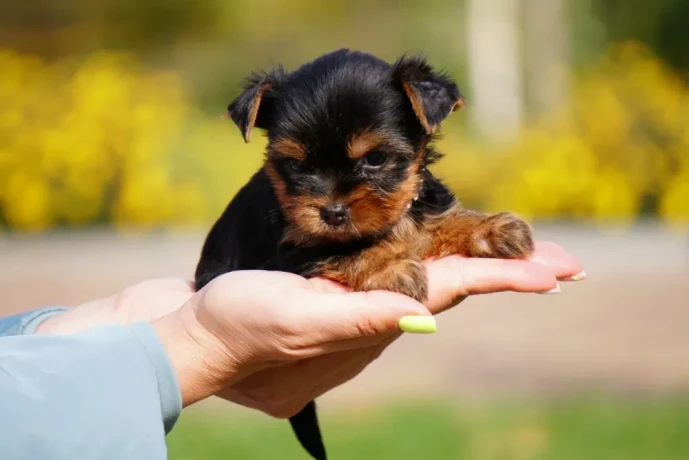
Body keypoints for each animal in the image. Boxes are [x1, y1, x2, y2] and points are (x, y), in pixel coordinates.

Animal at [196, 48, 536, 458]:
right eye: (294, 164)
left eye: (375, 159)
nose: (331, 211)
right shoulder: (297, 250)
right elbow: (350, 251)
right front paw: (391, 267)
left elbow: (434, 222)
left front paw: (490, 228)